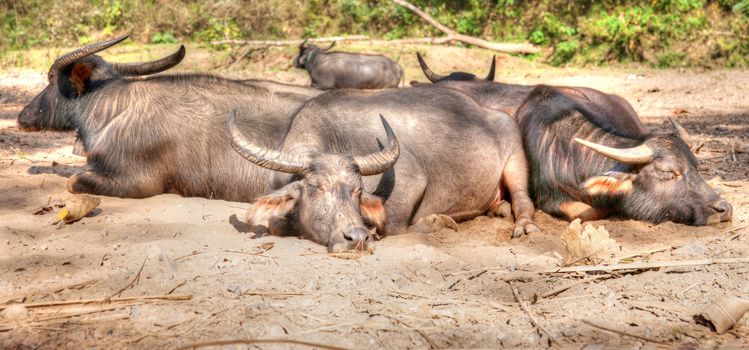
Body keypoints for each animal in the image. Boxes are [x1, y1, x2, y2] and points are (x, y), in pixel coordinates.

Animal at [228, 87, 536, 252]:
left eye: (357, 190)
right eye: (315, 189)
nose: (355, 238)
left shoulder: (410, 180)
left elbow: (393, 224)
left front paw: (436, 221)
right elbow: (275, 223)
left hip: (515, 157)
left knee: (523, 198)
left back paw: (522, 224)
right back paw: (499, 209)